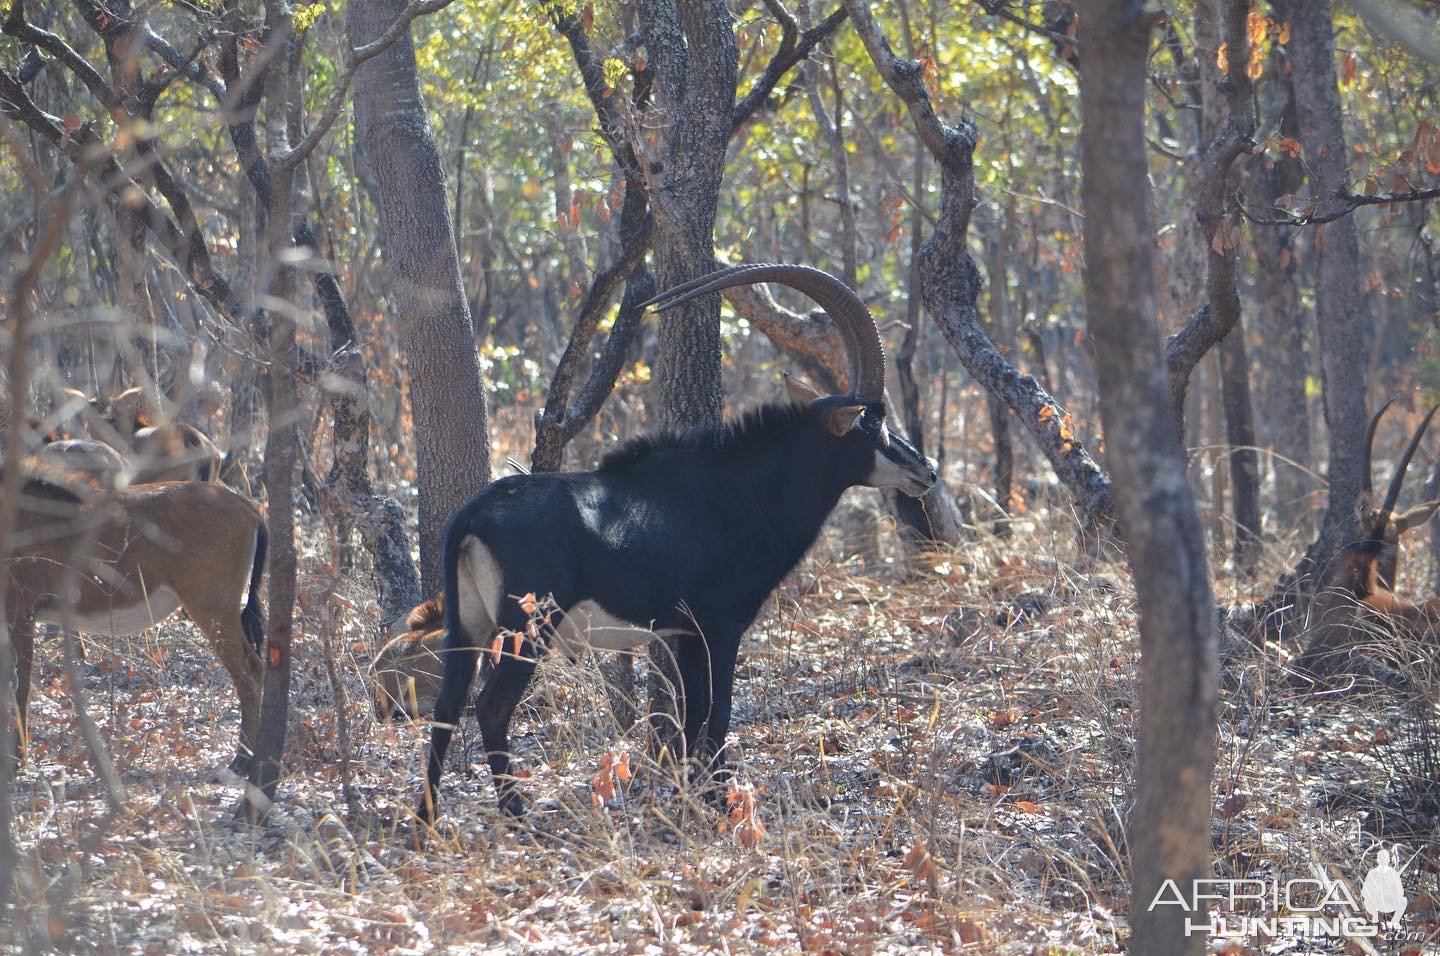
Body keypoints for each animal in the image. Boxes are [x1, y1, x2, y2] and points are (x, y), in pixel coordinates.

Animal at [4, 475, 267, 771]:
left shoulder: (22, 614)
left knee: (247, 675)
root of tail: (248, 507)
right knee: (255, 666)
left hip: (212, 607)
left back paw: (242, 761)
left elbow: (20, 688)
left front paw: (17, 762)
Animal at [420, 264, 938, 817]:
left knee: (448, 704)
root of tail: (473, 513)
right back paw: (518, 814)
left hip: (469, 622)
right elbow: (718, 710)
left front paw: (693, 793)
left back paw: (427, 817)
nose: (927, 471)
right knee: (492, 706)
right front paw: (719, 800)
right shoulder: (721, 626)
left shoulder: (685, 634)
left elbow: (692, 715)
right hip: (529, 626)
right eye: (873, 424)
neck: (743, 490)